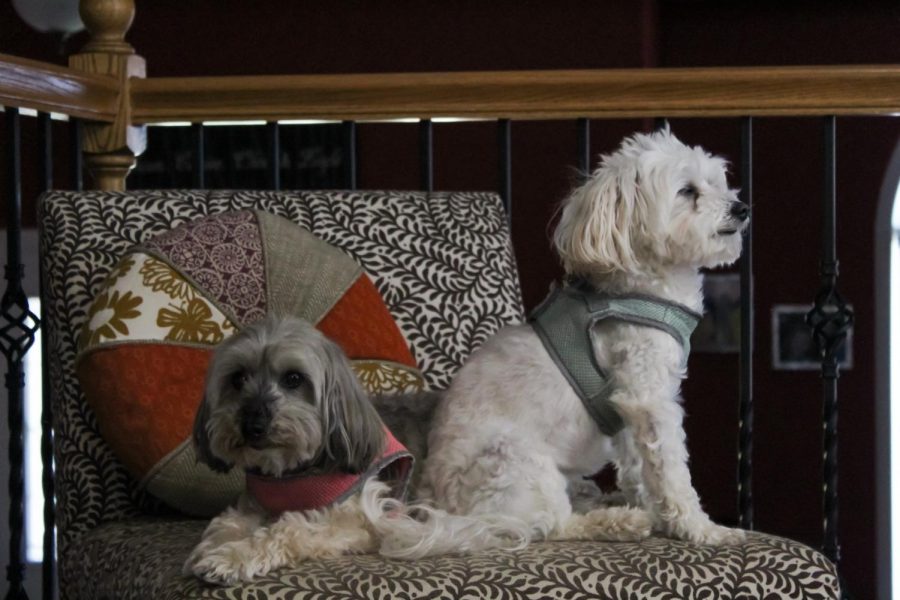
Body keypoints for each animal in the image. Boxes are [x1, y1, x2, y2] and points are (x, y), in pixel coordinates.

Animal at [183, 125, 744, 580]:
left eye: (719, 182)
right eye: (688, 192)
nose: (741, 208)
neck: (634, 285)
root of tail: (447, 509)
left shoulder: (629, 409)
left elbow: (639, 467)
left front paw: (657, 507)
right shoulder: (648, 398)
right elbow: (672, 471)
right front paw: (702, 528)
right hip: (518, 461)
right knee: (546, 525)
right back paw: (615, 520)